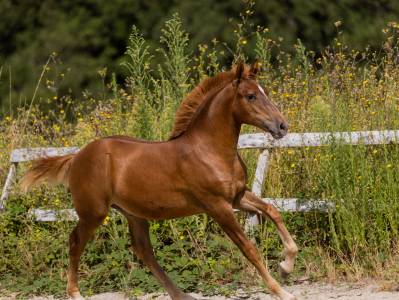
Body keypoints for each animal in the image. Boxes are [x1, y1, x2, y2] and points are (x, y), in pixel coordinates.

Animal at [21, 62, 296, 298]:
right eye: (250, 96)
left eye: (264, 91)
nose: (282, 126)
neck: (209, 150)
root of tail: (77, 156)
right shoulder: (218, 207)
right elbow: (249, 249)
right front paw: (282, 291)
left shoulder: (238, 196)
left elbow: (272, 210)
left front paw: (286, 266)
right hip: (94, 212)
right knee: (75, 242)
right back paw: (75, 293)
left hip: (134, 214)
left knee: (144, 251)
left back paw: (181, 295)